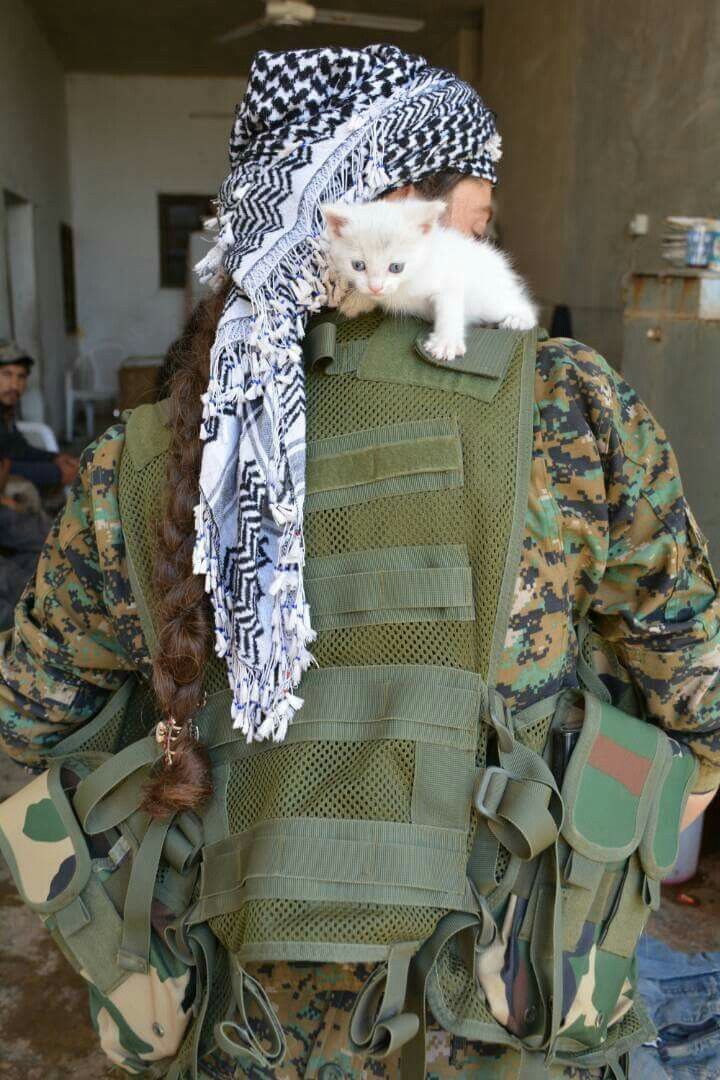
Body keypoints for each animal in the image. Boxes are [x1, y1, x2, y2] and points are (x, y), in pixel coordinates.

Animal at [319, 196, 535, 360]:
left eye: (396, 267)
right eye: (358, 266)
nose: (376, 287)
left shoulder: (448, 281)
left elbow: (449, 309)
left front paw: (446, 342)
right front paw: (357, 300)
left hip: (490, 300)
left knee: (522, 306)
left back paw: (518, 320)